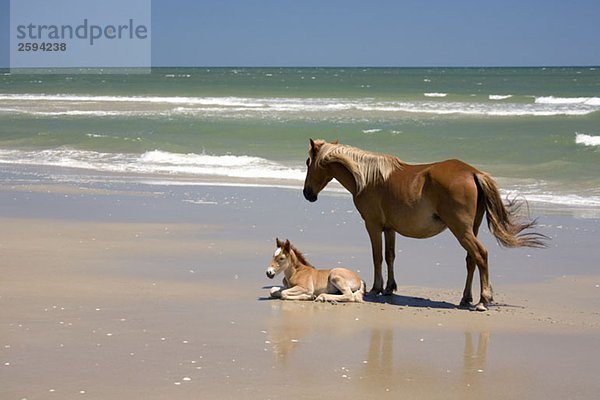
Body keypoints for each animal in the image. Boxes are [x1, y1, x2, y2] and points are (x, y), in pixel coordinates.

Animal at [302, 139, 548, 310]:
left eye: (308, 162)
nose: (307, 194)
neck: (369, 178)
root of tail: (473, 172)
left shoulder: (372, 225)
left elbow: (377, 256)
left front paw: (376, 288)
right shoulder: (389, 228)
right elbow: (390, 256)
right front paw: (389, 287)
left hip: (462, 230)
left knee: (481, 255)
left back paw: (482, 300)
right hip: (471, 229)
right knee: (471, 260)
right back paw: (466, 298)